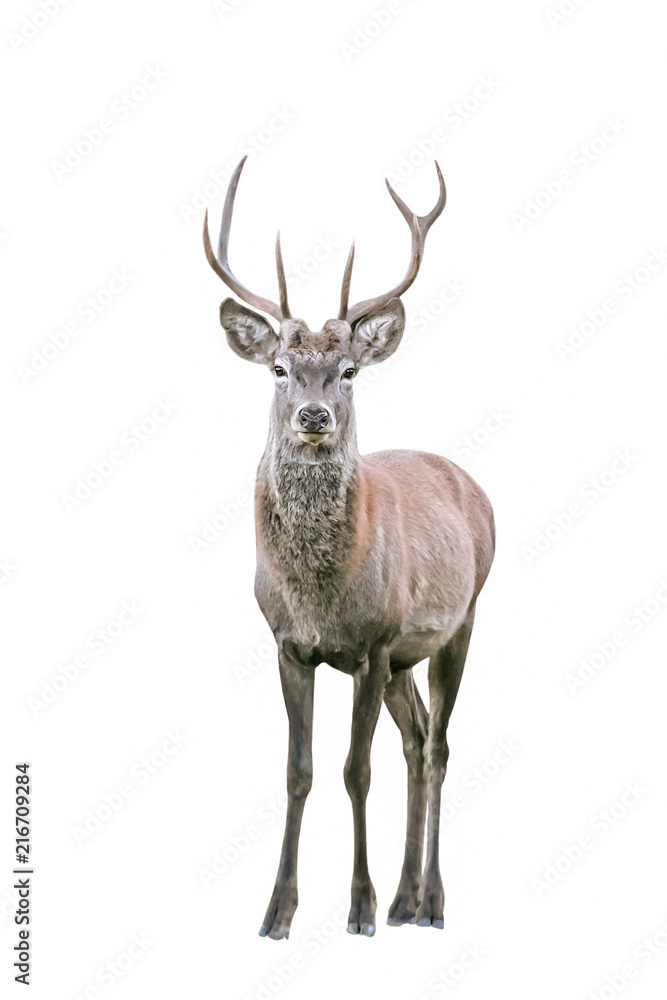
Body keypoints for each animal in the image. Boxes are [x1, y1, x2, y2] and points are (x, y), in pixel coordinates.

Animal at [203, 157, 495, 940]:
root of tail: (475, 487)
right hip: (404, 662)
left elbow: (353, 770)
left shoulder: (373, 640)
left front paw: (357, 908)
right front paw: (277, 912)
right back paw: (405, 901)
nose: (312, 416)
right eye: (279, 367)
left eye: (349, 372)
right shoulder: (287, 644)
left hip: (459, 622)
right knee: (414, 740)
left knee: (438, 746)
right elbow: (299, 771)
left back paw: (428, 904)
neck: (320, 595)